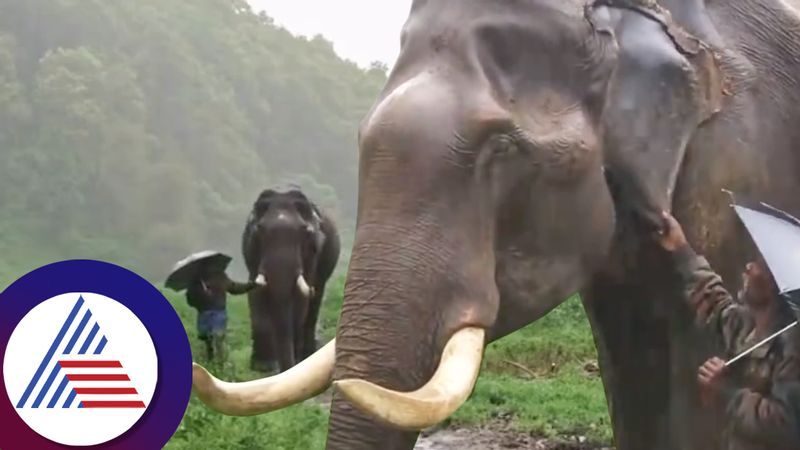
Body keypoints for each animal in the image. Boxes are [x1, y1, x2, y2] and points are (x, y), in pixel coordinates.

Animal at [238, 186, 338, 372]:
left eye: (306, 232)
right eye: (259, 230)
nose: (286, 368)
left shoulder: (313, 256)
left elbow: (301, 302)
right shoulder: (251, 255)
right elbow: (256, 297)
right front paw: (263, 367)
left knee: (314, 303)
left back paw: (306, 354)